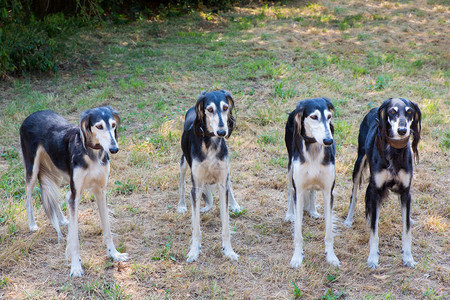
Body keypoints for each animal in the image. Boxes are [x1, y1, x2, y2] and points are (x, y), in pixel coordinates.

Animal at [19, 106, 128, 276]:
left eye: (113, 125)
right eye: (99, 126)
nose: (114, 149)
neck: (92, 154)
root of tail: (32, 114)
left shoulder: (101, 191)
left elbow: (108, 229)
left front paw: (114, 254)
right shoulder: (75, 195)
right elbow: (75, 238)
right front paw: (76, 267)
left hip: (54, 170)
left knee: (53, 196)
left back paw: (63, 219)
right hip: (32, 168)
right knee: (28, 196)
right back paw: (32, 224)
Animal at [178, 90, 243, 264]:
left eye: (225, 107)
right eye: (210, 109)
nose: (222, 132)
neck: (211, 144)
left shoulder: (222, 182)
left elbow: (226, 225)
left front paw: (229, 251)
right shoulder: (196, 187)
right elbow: (196, 227)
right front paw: (194, 251)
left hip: (227, 171)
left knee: (230, 184)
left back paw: (235, 204)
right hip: (183, 162)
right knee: (182, 183)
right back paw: (181, 205)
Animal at [284, 98, 340, 268]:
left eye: (329, 117)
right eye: (314, 117)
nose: (328, 141)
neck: (314, 149)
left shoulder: (329, 192)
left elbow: (329, 232)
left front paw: (331, 256)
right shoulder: (299, 188)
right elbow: (298, 232)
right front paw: (297, 257)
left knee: (313, 190)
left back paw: (313, 210)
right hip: (290, 168)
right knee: (290, 190)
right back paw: (289, 214)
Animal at [344, 98, 422, 270]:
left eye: (410, 112)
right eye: (392, 111)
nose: (402, 130)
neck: (395, 151)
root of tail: (373, 108)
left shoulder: (406, 192)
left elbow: (406, 230)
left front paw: (408, 257)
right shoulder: (376, 190)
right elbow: (374, 231)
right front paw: (373, 258)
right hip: (359, 162)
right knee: (354, 196)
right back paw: (349, 219)